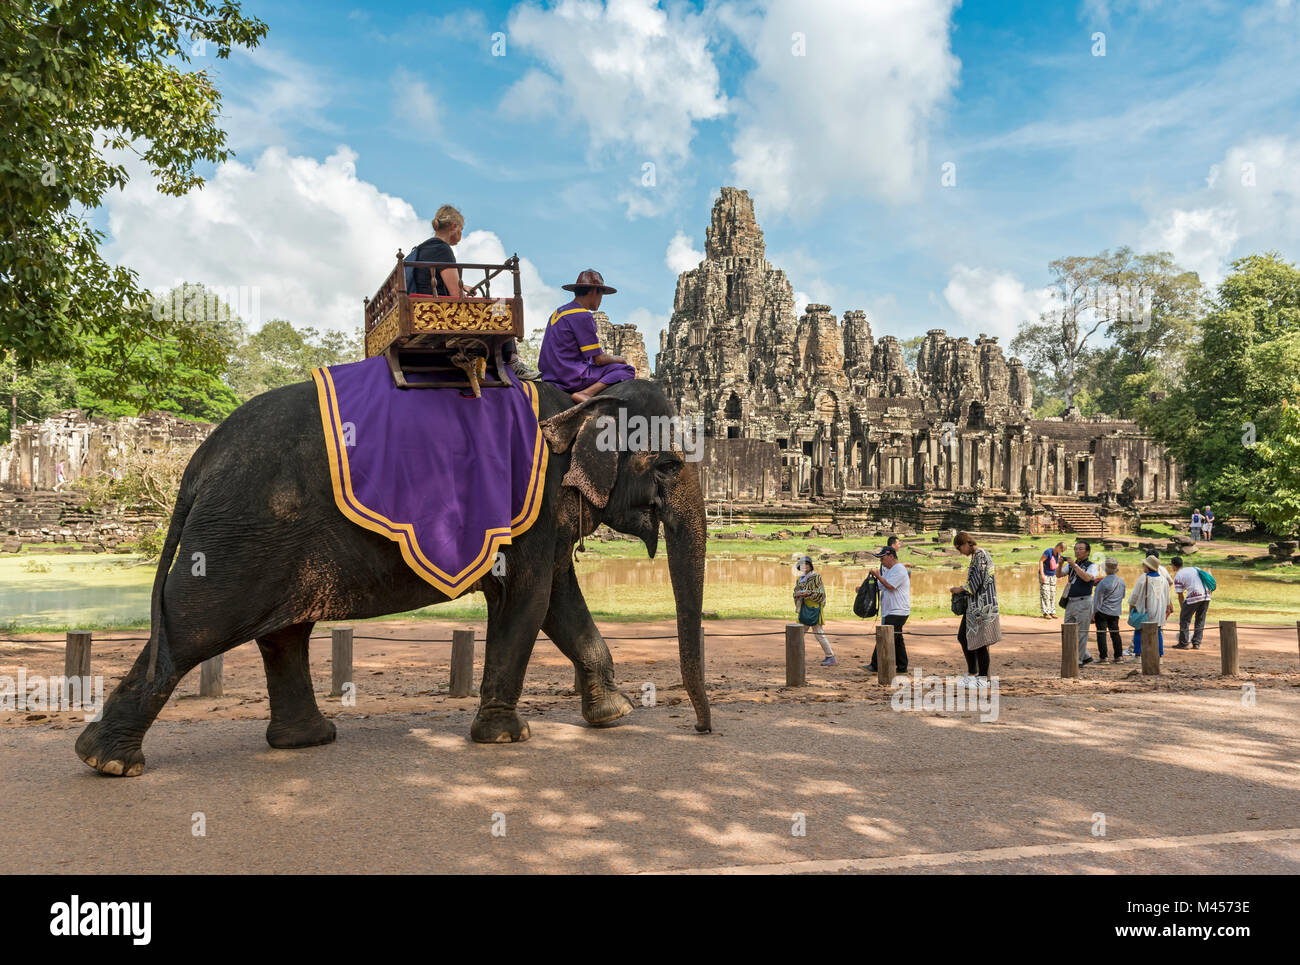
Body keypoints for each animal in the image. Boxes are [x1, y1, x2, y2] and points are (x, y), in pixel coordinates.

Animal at [76, 377, 712, 780]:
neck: (581, 401)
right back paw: (108, 762)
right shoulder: (529, 505)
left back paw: (306, 740)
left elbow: (559, 602)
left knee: (282, 634)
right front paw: (508, 737)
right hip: (241, 535)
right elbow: (529, 600)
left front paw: (614, 715)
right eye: (668, 465)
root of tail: (200, 458)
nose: (704, 732)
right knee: (195, 627)